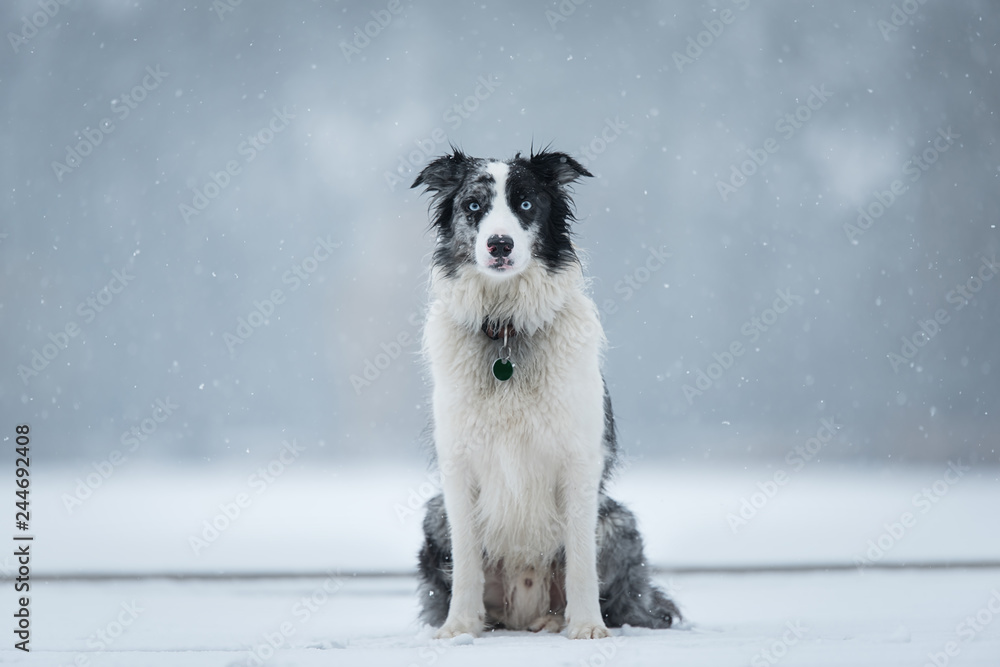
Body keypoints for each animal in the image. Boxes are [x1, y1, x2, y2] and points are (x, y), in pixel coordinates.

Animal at [408, 149, 680, 640]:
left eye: (525, 204)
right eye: (473, 206)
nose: (499, 244)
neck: (506, 329)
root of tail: (522, 612)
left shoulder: (580, 461)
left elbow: (580, 562)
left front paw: (587, 626)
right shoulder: (457, 466)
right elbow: (467, 563)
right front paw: (459, 627)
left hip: (617, 521)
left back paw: (559, 619)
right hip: (434, 514)